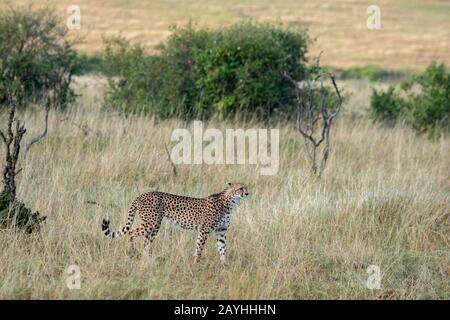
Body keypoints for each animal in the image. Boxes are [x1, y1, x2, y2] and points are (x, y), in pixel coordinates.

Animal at [101, 182, 250, 262]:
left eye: (246, 187)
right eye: (240, 188)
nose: (247, 193)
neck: (230, 202)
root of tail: (142, 195)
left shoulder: (221, 231)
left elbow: (222, 249)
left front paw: (225, 265)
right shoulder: (204, 230)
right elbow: (199, 247)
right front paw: (196, 262)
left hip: (154, 226)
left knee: (146, 243)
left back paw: (148, 259)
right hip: (151, 223)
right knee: (131, 233)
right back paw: (132, 252)